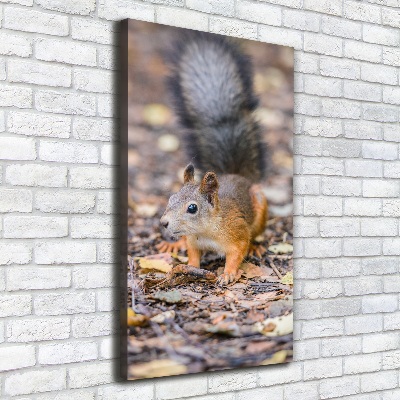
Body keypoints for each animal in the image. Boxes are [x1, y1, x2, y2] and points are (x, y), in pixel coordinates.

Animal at [157, 32, 268, 286]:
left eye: (192, 208)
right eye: (171, 198)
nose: (164, 223)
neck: (205, 230)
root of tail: (237, 175)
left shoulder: (237, 233)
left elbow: (237, 252)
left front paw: (228, 273)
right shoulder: (194, 241)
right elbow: (193, 255)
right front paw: (188, 266)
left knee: (255, 234)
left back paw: (256, 247)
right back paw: (173, 244)